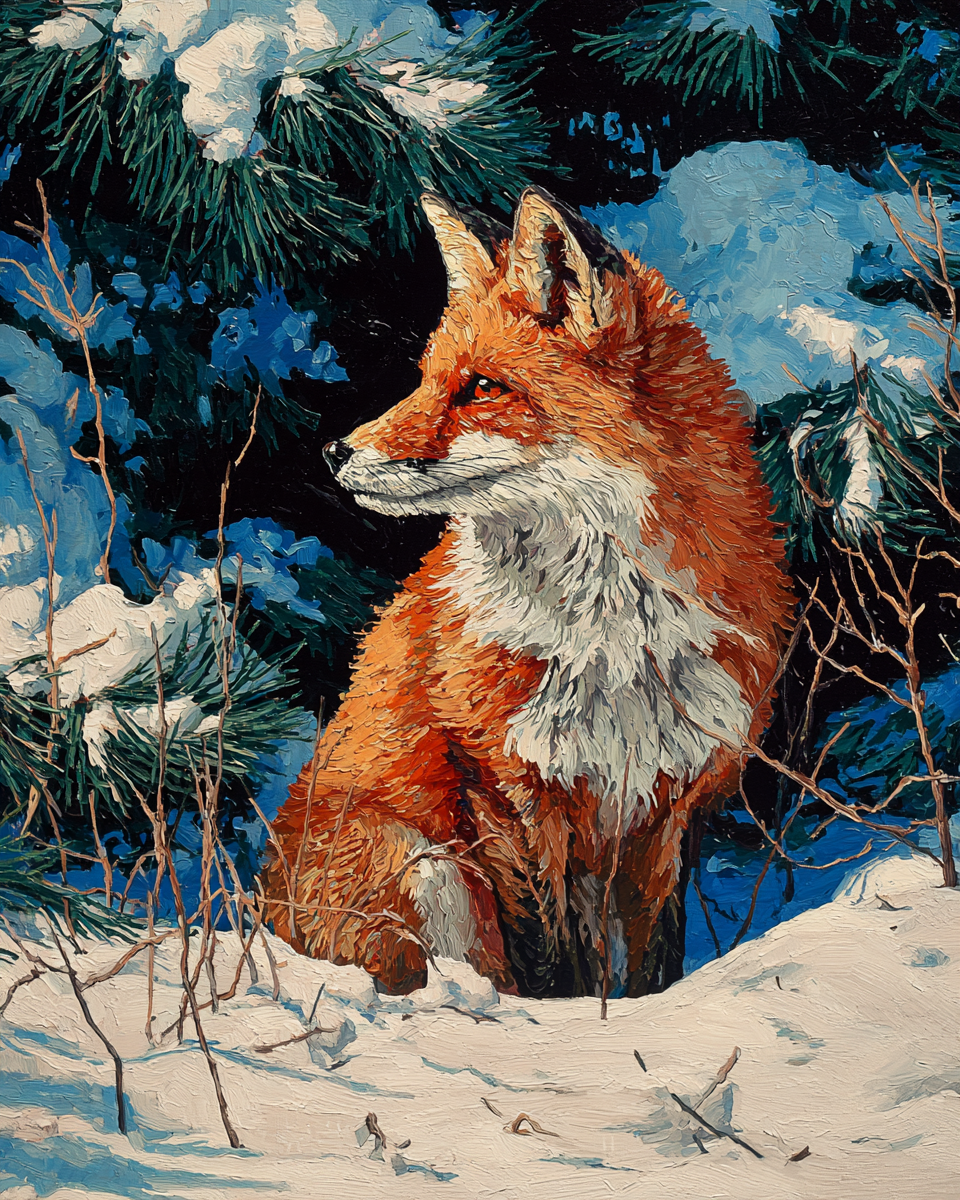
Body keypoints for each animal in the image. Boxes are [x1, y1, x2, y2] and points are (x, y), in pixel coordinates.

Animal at [262, 188, 793, 999]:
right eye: (425, 378)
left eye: (482, 388)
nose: (333, 452)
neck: (614, 639)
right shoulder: (508, 789)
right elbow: (550, 961)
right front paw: (560, 1025)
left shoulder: (667, 803)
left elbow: (652, 966)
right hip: (421, 863)